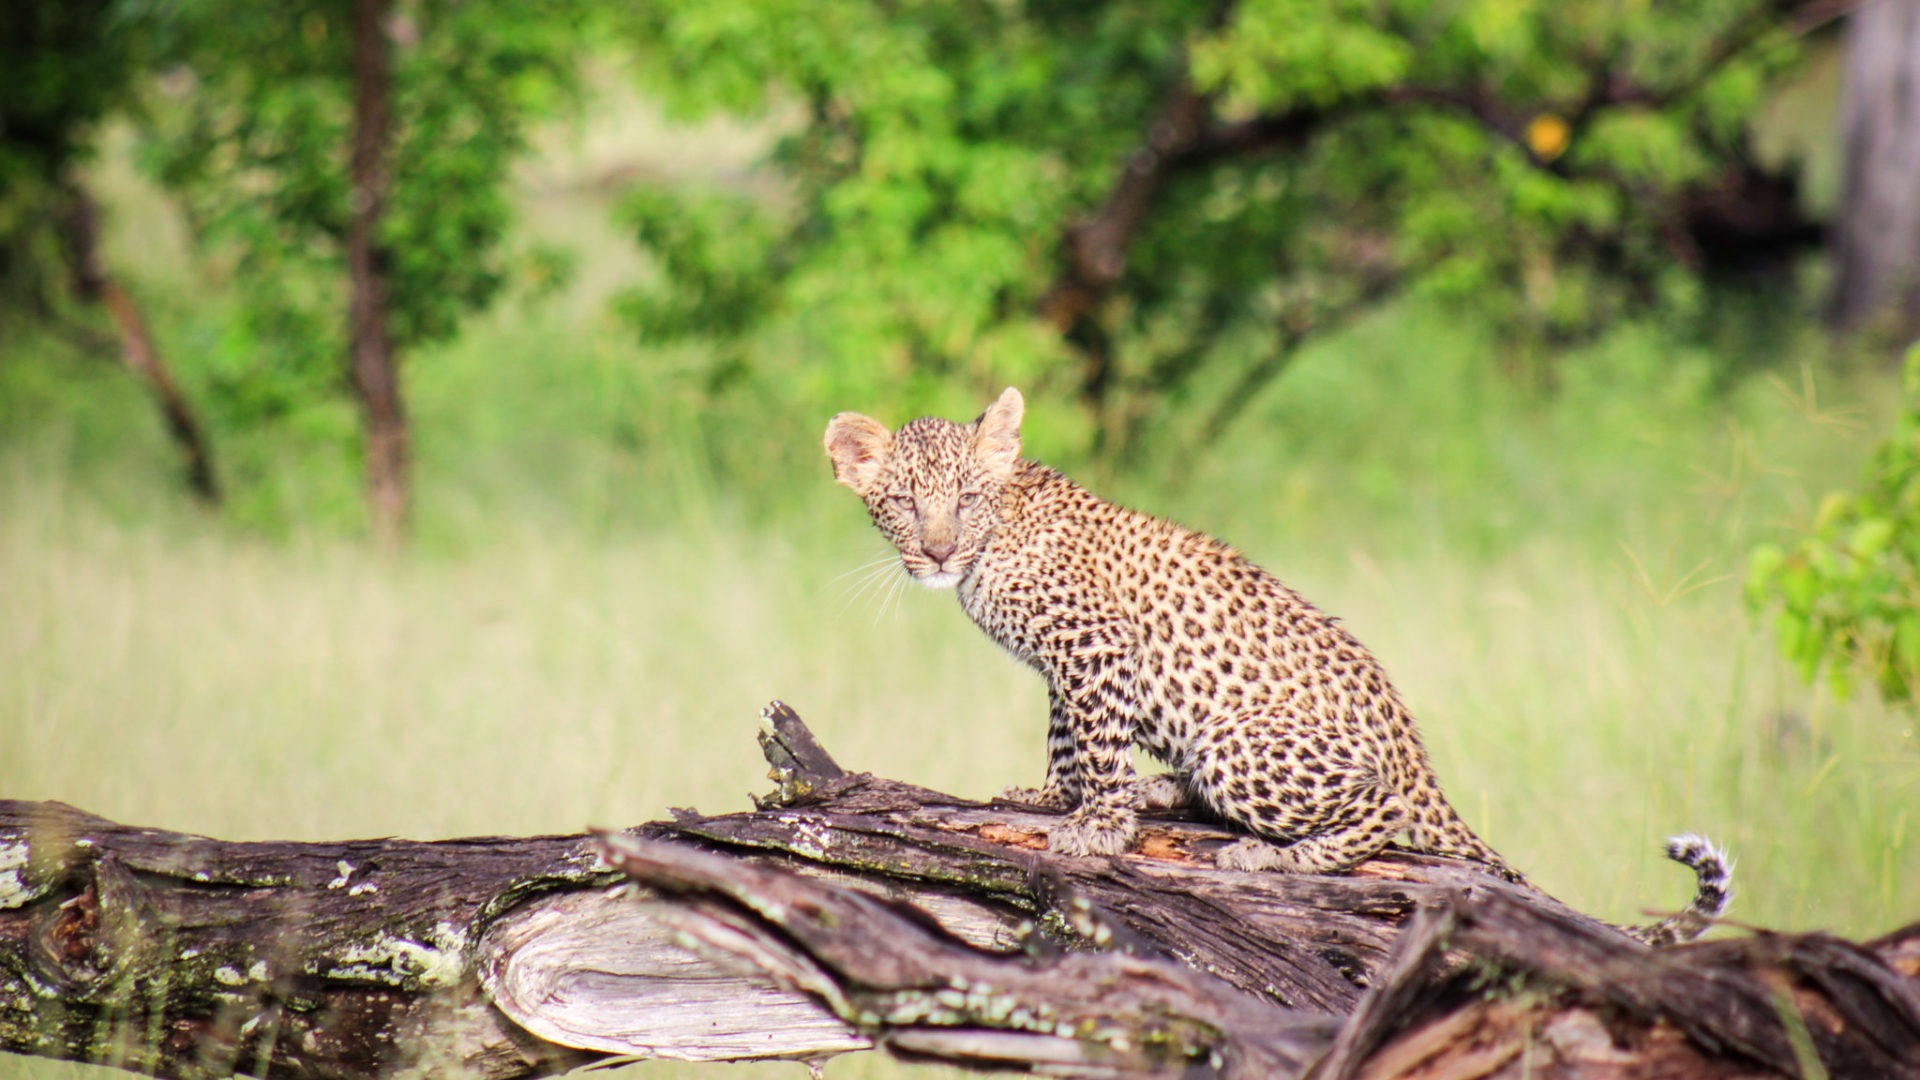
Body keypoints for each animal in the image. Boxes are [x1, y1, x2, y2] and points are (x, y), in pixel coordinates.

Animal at [825, 386, 1732, 946]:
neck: (996, 541)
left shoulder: (1098, 647)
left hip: (1247, 744)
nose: (937, 551)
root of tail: (1415, 752)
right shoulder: (1067, 665)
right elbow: (1068, 740)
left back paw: (1267, 854)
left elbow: (1097, 746)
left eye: (965, 499)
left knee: (1381, 811)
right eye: (903, 504)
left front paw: (1097, 825)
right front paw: (1053, 798)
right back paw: (1170, 793)